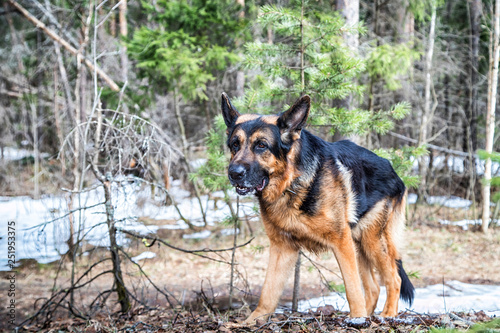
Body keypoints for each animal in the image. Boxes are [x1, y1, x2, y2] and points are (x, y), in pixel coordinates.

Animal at [222, 92, 414, 322]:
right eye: (235, 145)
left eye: (261, 145)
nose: (234, 173)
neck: (292, 182)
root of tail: (393, 170)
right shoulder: (282, 248)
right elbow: (267, 294)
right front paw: (251, 322)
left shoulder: (341, 242)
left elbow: (352, 288)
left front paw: (357, 318)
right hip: (359, 245)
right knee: (374, 287)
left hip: (372, 241)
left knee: (394, 279)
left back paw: (387, 315)